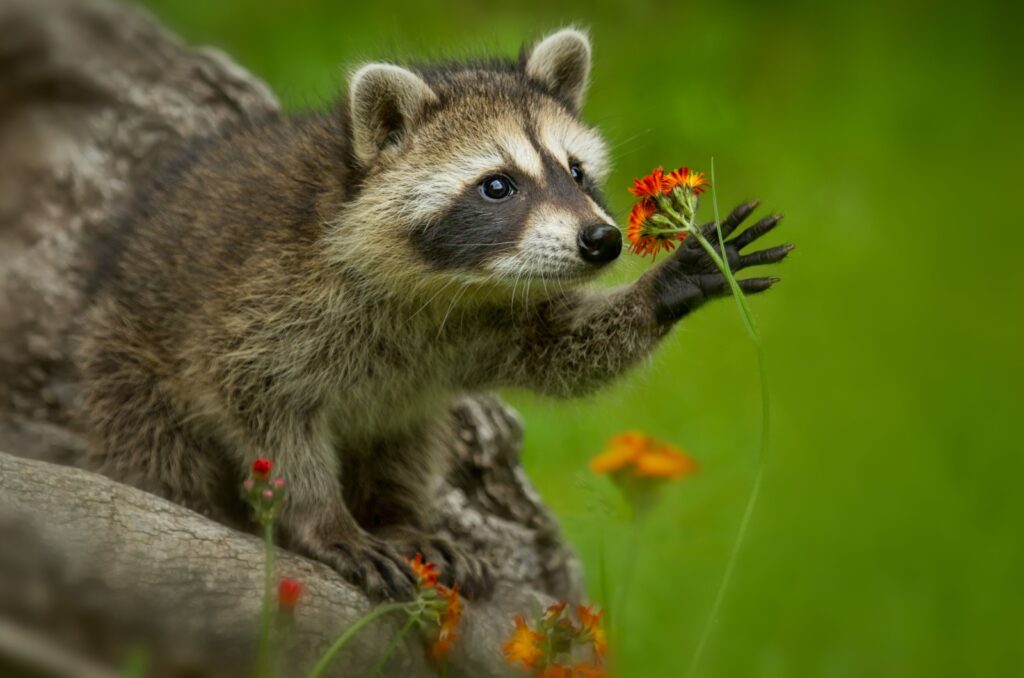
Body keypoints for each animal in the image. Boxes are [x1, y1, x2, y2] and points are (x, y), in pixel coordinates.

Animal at [77, 27, 790, 602]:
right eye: (497, 185)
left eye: (576, 172)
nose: (603, 242)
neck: (445, 285)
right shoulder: (264, 302)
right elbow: (265, 411)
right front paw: (321, 518)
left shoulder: (490, 318)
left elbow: (563, 350)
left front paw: (668, 285)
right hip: (125, 367)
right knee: (161, 456)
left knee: (407, 437)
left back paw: (399, 515)